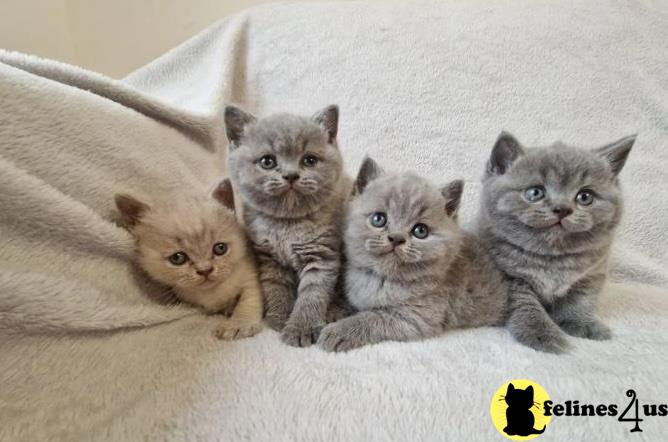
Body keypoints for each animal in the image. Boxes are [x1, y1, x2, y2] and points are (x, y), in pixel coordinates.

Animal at [115, 179, 264, 338]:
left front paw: (239, 324)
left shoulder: (251, 272)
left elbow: (249, 299)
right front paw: (229, 310)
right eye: (177, 258)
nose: (205, 270)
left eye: (220, 248)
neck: (212, 293)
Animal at [224, 105, 352, 348]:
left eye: (309, 160)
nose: (291, 175)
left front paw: (301, 328)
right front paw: (279, 317)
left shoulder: (321, 255)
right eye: (267, 161)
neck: (286, 223)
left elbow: (311, 295)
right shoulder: (269, 257)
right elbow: (275, 287)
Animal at [316, 159, 508, 352]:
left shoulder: (416, 318)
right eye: (378, 219)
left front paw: (338, 331)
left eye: (420, 231)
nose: (396, 238)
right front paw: (332, 310)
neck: (381, 279)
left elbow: (373, 317)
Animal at [480, 130, 636, 352]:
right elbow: (526, 305)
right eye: (535, 192)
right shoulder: (509, 278)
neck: (552, 257)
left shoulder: (591, 275)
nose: (562, 209)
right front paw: (541, 334)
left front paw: (582, 323)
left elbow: (581, 300)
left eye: (585, 196)